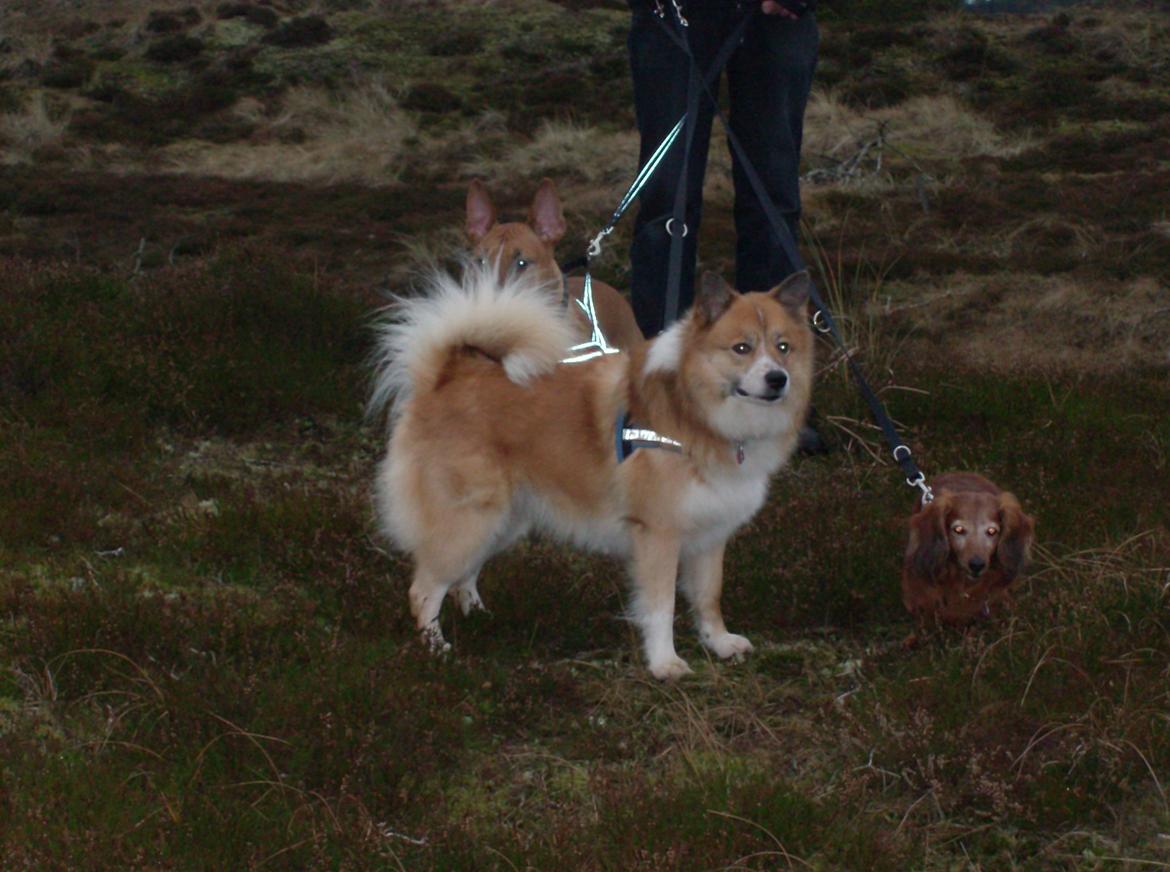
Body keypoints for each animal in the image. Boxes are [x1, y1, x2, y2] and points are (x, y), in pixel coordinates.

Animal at [369, 262, 809, 678]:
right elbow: (661, 606)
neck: (694, 413)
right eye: (741, 348)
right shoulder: (659, 534)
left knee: (463, 576)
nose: (777, 379)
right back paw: (437, 650)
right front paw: (664, 663)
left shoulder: (711, 532)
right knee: (424, 589)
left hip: (503, 520)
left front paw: (719, 643)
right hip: (470, 518)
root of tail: (447, 375)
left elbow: (708, 597)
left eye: (783, 347)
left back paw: (478, 615)